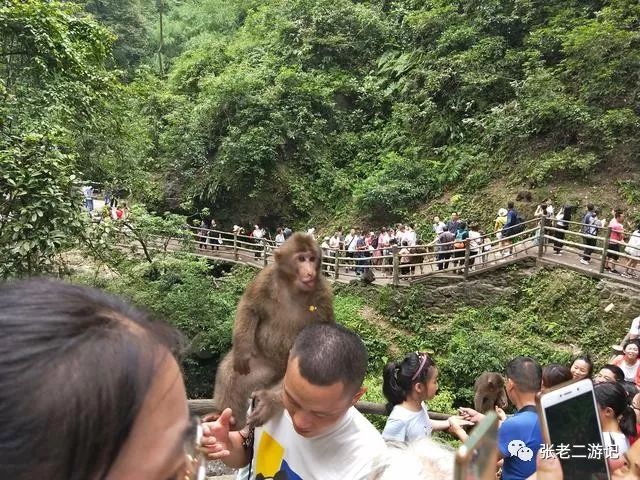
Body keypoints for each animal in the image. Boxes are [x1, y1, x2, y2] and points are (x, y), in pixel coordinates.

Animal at [212, 232, 338, 428]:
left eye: (312, 259)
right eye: (301, 259)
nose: (310, 272)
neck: (293, 287)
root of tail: (276, 369)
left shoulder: (323, 296)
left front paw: (269, 403)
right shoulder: (266, 277)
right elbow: (250, 307)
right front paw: (242, 350)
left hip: (284, 372)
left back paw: (268, 403)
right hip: (264, 365)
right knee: (231, 374)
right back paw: (227, 420)